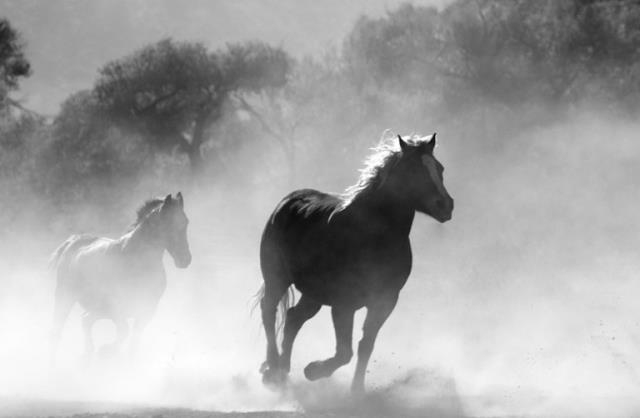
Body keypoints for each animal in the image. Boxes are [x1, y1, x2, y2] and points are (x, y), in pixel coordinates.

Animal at [49, 193, 191, 362]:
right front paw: (106, 351)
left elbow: (134, 342)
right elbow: (124, 331)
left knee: (85, 320)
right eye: (168, 224)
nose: (185, 259)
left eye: (186, 222)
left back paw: (88, 354)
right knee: (58, 329)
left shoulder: (147, 310)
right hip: (65, 297)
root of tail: (73, 241)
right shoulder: (116, 307)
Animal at [260, 133, 456, 392]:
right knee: (269, 311)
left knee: (293, 319)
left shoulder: (385, 301)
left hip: (313, 294)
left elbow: (365, 346)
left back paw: (283, 371)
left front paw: (357, 391)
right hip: (277, 278)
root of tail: (287, 202)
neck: (373, 236)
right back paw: (272, 369)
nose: (445, 205)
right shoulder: (344, 304)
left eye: (440, 168)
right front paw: (313, 370)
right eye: (414, 170)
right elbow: (345, 352)